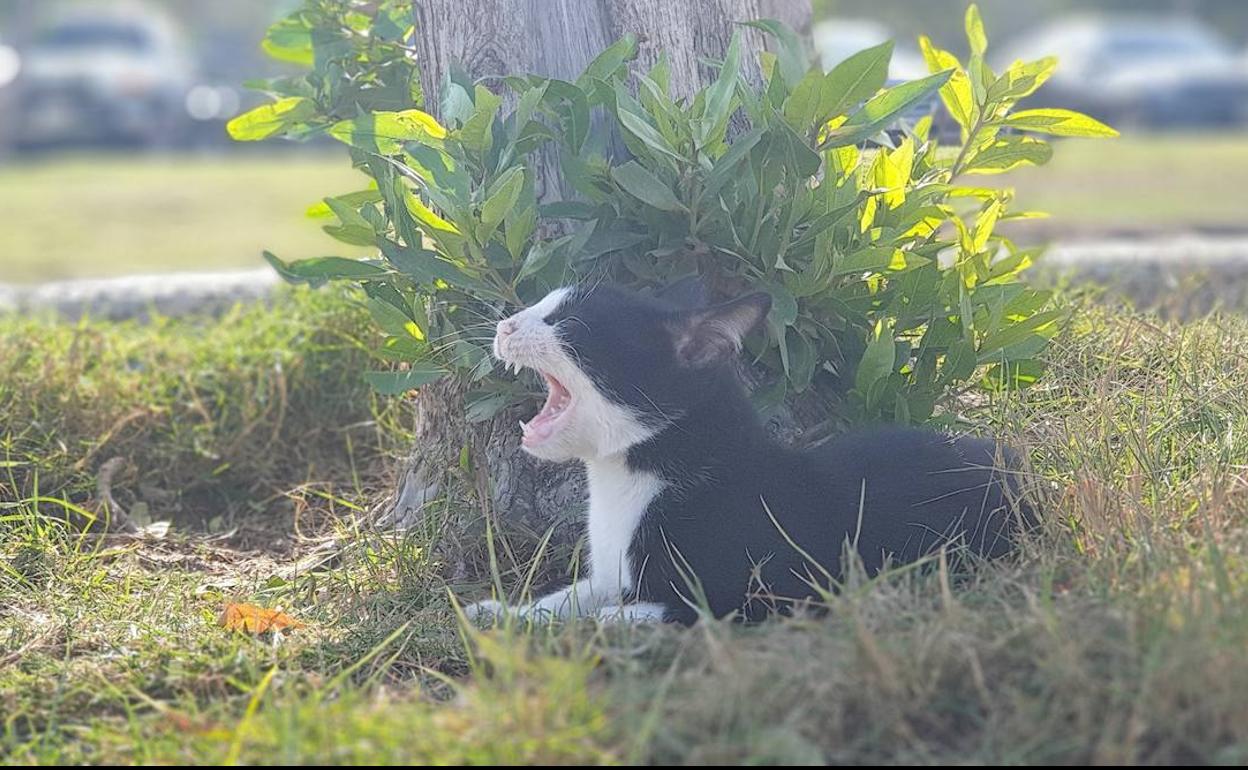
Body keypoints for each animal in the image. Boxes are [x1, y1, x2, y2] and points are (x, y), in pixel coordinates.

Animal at [469, 282, 1033, 623]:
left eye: (568, 325)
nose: (505, 325)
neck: (628, 482)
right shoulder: (609, 576)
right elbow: (566, 599)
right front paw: (504, 615)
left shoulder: (759, 596)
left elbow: (621, 618)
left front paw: (572, 634)